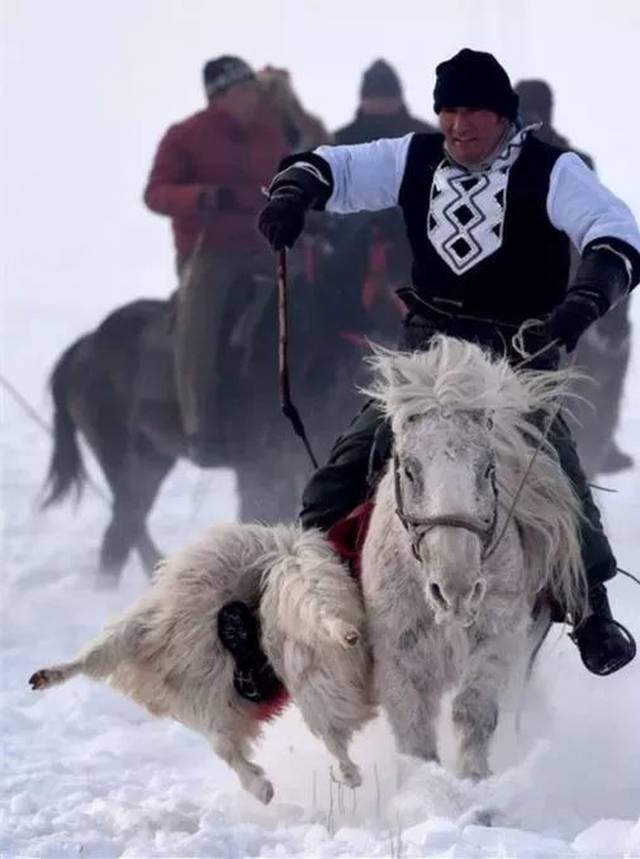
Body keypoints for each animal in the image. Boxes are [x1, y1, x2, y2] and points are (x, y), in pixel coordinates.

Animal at [360, 336, 584, 780]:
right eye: (409, 470)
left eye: (486, 468)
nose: (456, 591)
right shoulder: (395, 655)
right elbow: (413, 733)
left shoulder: (499, 636)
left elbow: (473, 710)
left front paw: (473, 782)